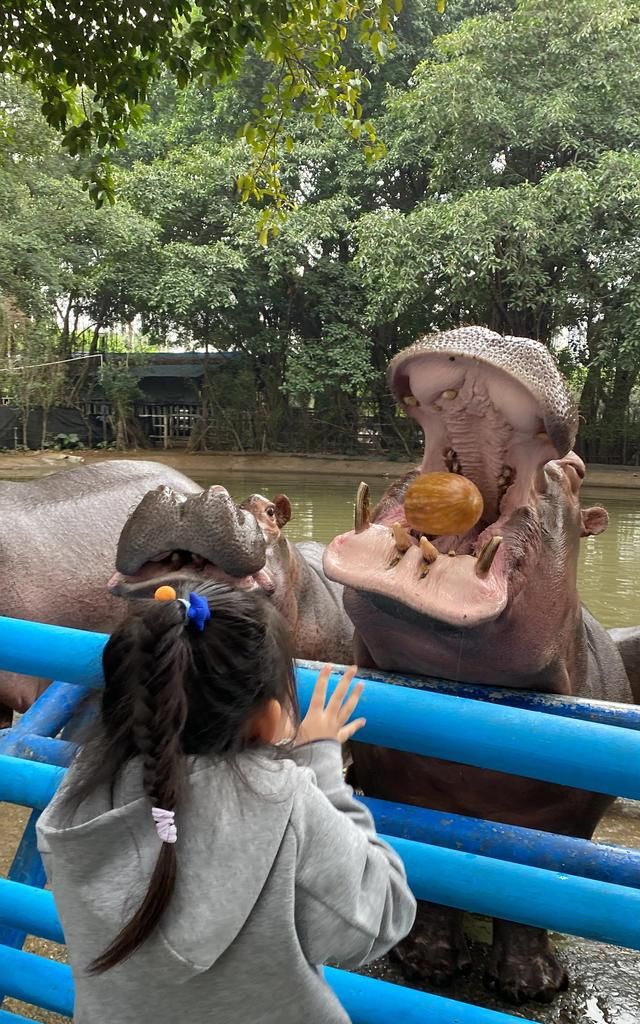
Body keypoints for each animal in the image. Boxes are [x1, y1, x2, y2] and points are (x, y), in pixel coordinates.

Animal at [323, 325, 634, 999]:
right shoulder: (400, 789)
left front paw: (531, 983)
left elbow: (534, 891)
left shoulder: (569, 823)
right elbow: (431, 875)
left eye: (577, 474)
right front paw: (427, 962)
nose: (499, 333)